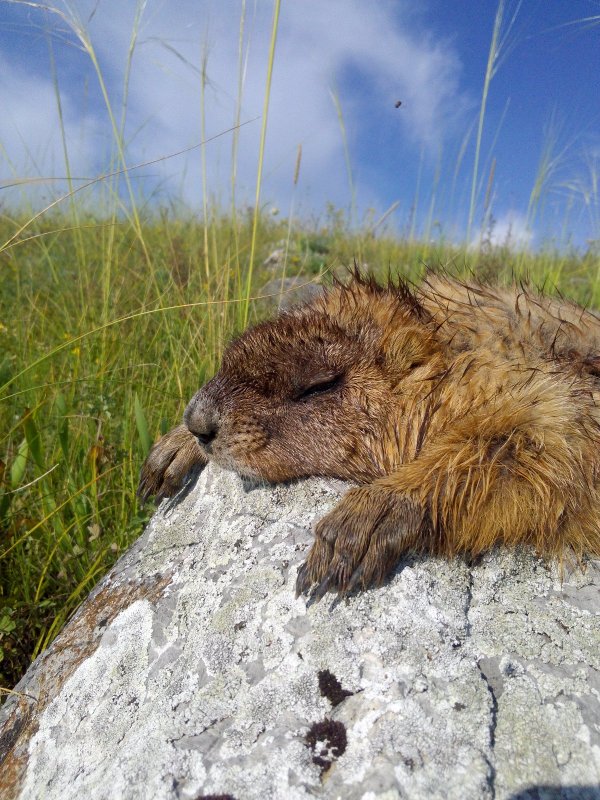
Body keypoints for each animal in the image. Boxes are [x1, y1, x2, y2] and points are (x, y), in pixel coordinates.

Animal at [138, 271, 600, 599]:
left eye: (319, 385)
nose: (198, 420)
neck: (452, 348)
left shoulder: (549, 391)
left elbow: (541, 439)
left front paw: (366, 517)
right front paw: (171, 449)